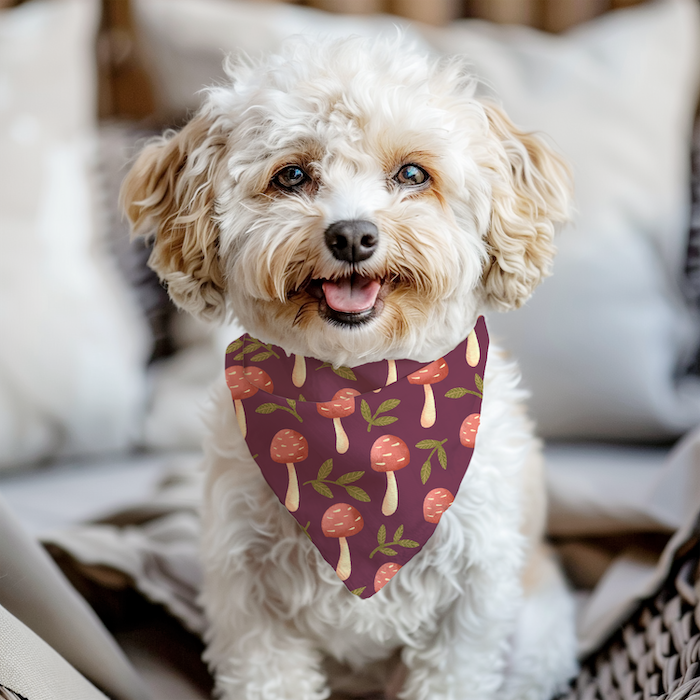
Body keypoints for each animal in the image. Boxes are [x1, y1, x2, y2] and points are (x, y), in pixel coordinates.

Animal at [123, 34, 576, 700]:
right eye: (291, 175)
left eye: (412, 173)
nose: (353, 236)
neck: (361, 383)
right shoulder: (247, 598)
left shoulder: (473, 599)